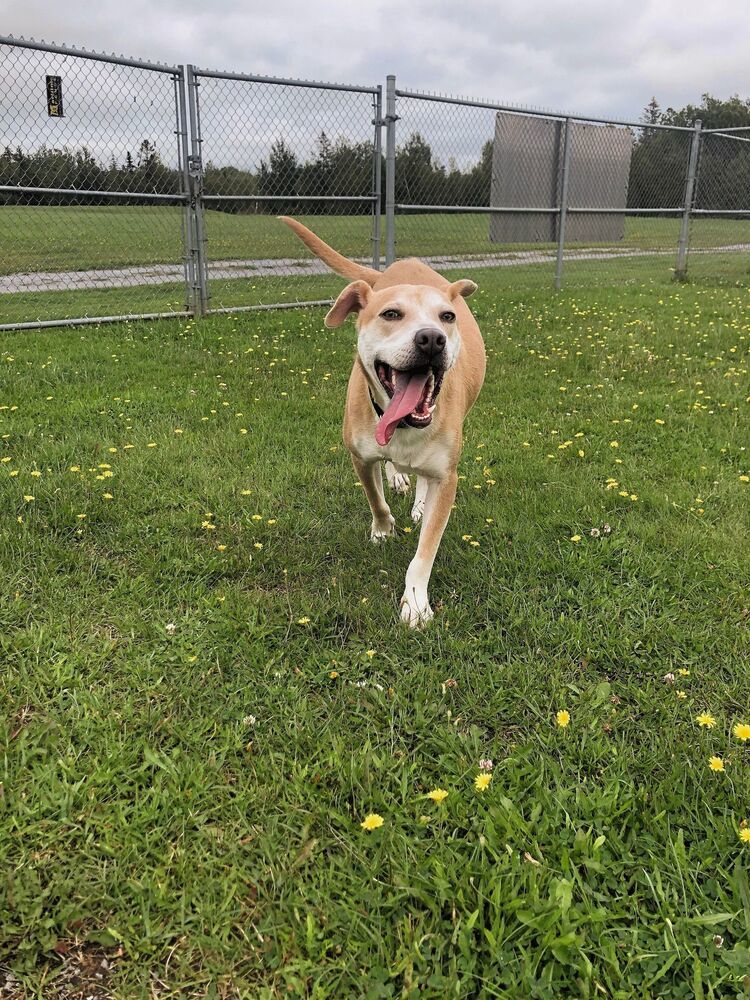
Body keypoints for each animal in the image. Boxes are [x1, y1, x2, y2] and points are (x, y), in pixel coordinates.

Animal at [280, 218, 488, 624]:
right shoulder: (360, 455)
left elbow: (426, 549)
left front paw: (416, 601)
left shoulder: (448, 476)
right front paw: (383, 530)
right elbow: (375, 498)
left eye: (447, 316)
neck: (405, 424)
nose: (432, 338)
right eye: (391, 314)